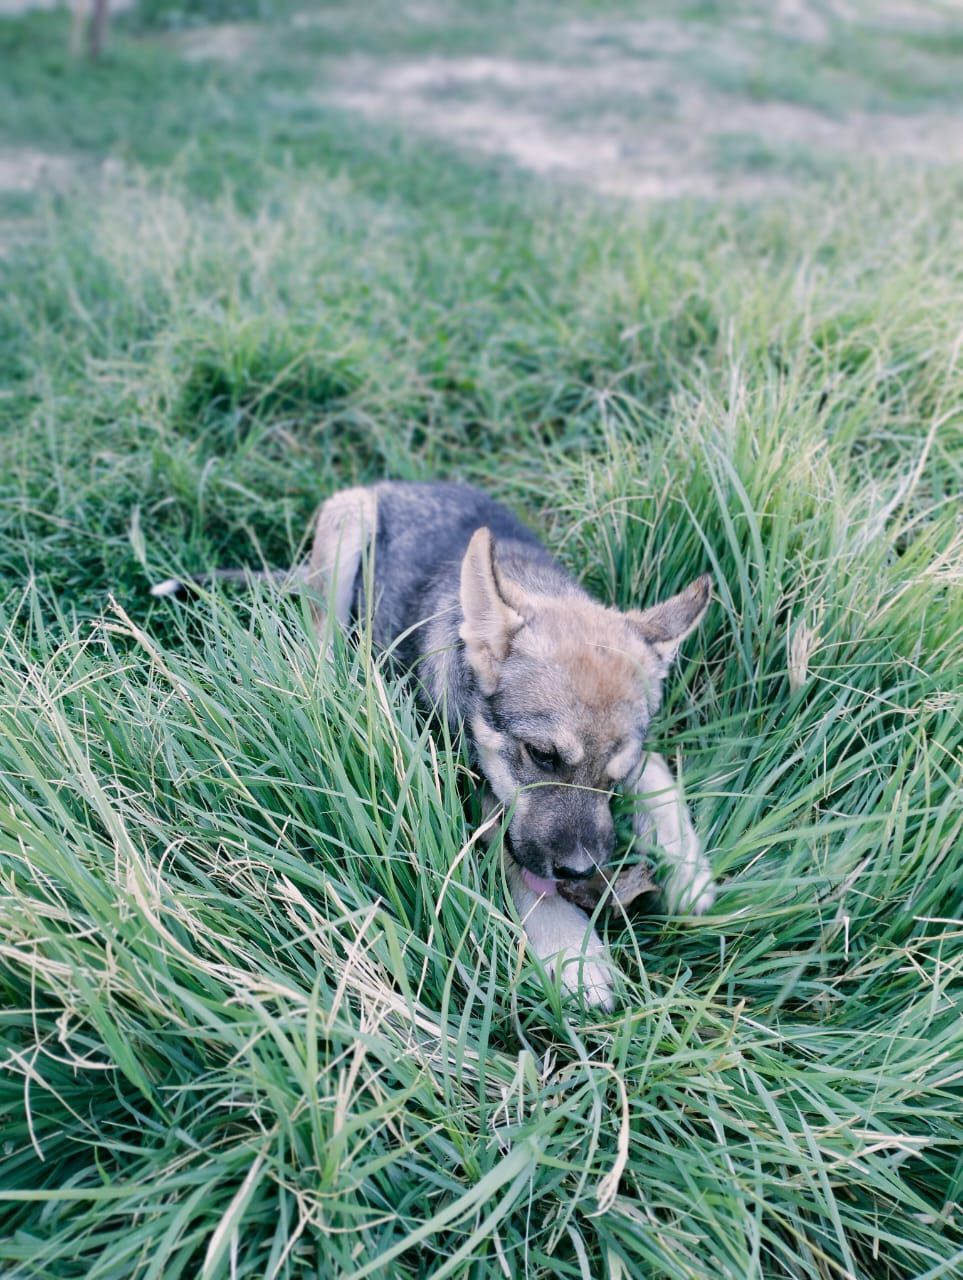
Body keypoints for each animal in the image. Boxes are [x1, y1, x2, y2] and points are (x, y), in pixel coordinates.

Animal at [154, 481, 717, 1008]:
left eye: (613, 779)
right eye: (541, 755)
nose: (581, 871)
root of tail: (394, 485)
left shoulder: (637, 758)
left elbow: (659, 770)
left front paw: (687, 868)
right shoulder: (465, 788)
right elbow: (513, 860)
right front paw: (571, 949)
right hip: (347, 528)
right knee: (319, 647)